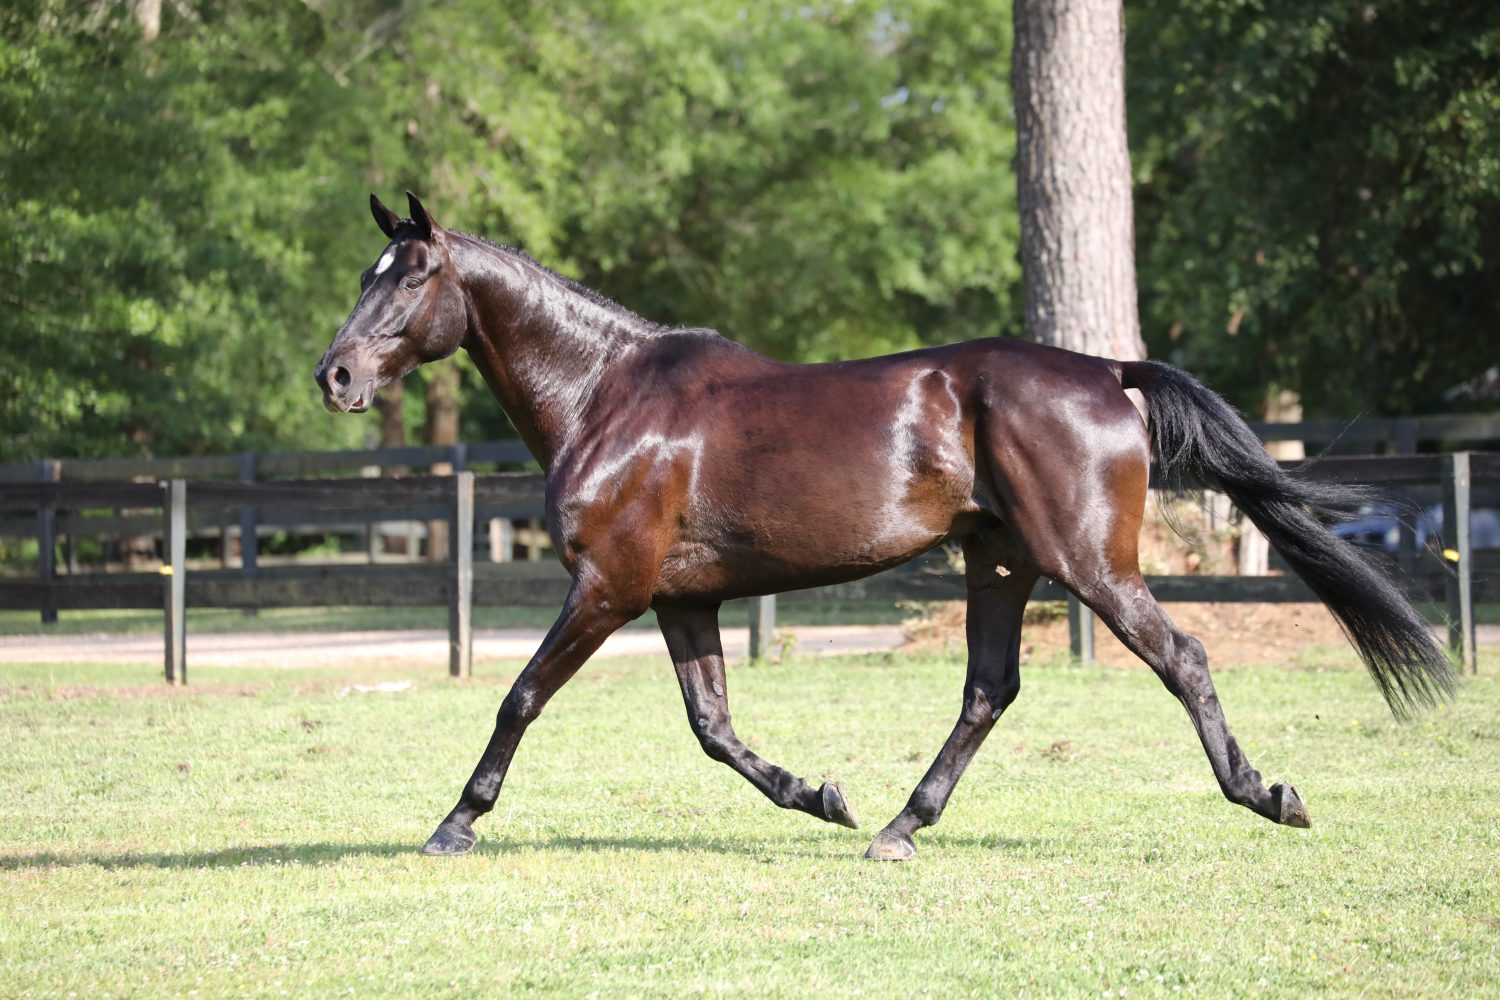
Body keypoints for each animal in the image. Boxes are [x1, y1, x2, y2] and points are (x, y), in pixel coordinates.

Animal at [314, 192, 1453, 861]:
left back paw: (1268, 794)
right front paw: (822, 795)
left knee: (1183, 656)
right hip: (1000, 564)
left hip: (1089, 563)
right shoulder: (682, 599)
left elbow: (519, 696)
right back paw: (901, 826)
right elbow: (714, 728)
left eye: (414, 277)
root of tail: (1104, 372)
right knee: (990, 690)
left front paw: (454, 823)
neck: (609, 395)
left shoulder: (609, 588)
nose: (335, 376)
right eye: (366, 275)